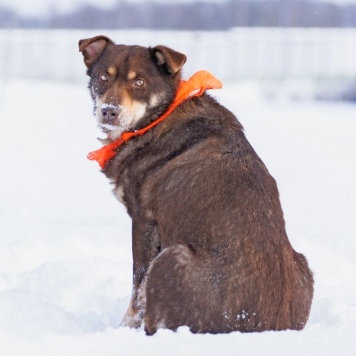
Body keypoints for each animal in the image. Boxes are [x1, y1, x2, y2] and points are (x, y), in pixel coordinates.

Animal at [79, 34, 312, 336]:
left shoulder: (144, 221)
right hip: (305, 266)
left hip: (170, 257)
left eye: (139, 82)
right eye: (103, 77)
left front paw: (124, 329)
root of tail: (257, 326)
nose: (109, 111)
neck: (157, 118)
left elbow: (138, 289)